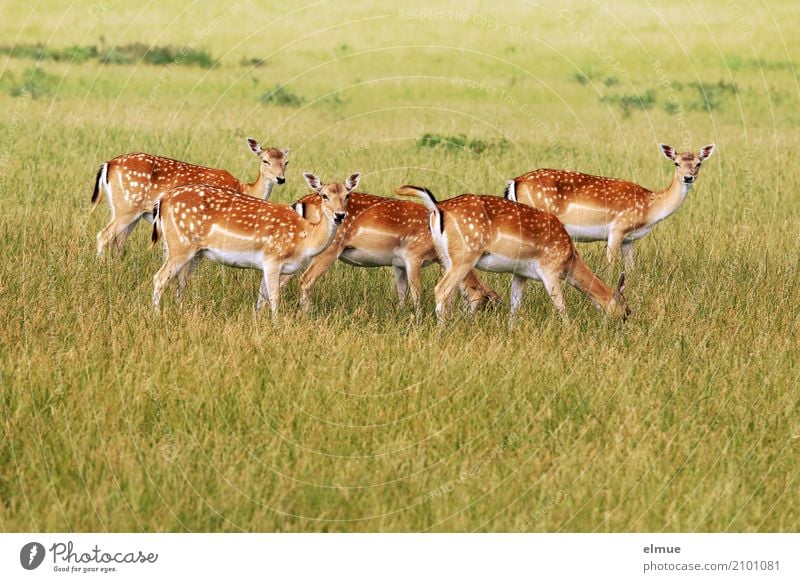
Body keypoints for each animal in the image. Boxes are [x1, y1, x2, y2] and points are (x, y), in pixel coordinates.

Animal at [91, 139, 290, 258]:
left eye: (286, 162)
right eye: (265, 160)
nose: (281, 179)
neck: (244, 188)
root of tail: (109, 164)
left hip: (127, 210)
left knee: (119, 241)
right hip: (126, 207)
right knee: (103, 235)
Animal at [150, 172, 356, 314]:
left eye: (347, 195)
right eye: (324, 195)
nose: (339, 215)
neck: (305, 238)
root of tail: (163, 200)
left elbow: (261, 297)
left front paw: (258, 320)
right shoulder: (273, 257)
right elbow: (274, 297)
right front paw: (277, 325)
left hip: (193, 251)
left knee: (181, 280)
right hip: (180, 245)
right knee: (160, 277)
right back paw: (156, 315)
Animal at [288, 192, 500, 312]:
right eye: (483, 300)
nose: (470, 321)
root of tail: (298, 203)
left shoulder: (398, 263)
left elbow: (402, 292)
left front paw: (400, 313)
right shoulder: (413, 255)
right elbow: (416, 292)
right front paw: (418, 318)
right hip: (329, 249)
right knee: (306, 279)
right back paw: (308, 312)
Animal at [396, 186, 628, 324]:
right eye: (626, 308)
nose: (624, 322)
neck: (569, 258)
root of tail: (437, 207)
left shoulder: (520, 273)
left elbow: (515, 305)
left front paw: (511, 330)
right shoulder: (549, 270)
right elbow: (560, 305)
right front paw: (569, 330)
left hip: (446, 257)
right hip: (464, 256)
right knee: (441, 289)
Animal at [504, 144, 716, 272]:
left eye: (699, 163)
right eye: (676, 163)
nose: (688, 177)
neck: (649, 208)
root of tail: (515, 181)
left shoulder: (629, 240)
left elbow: (631, 268)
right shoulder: (617, 229)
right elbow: (611, 265)